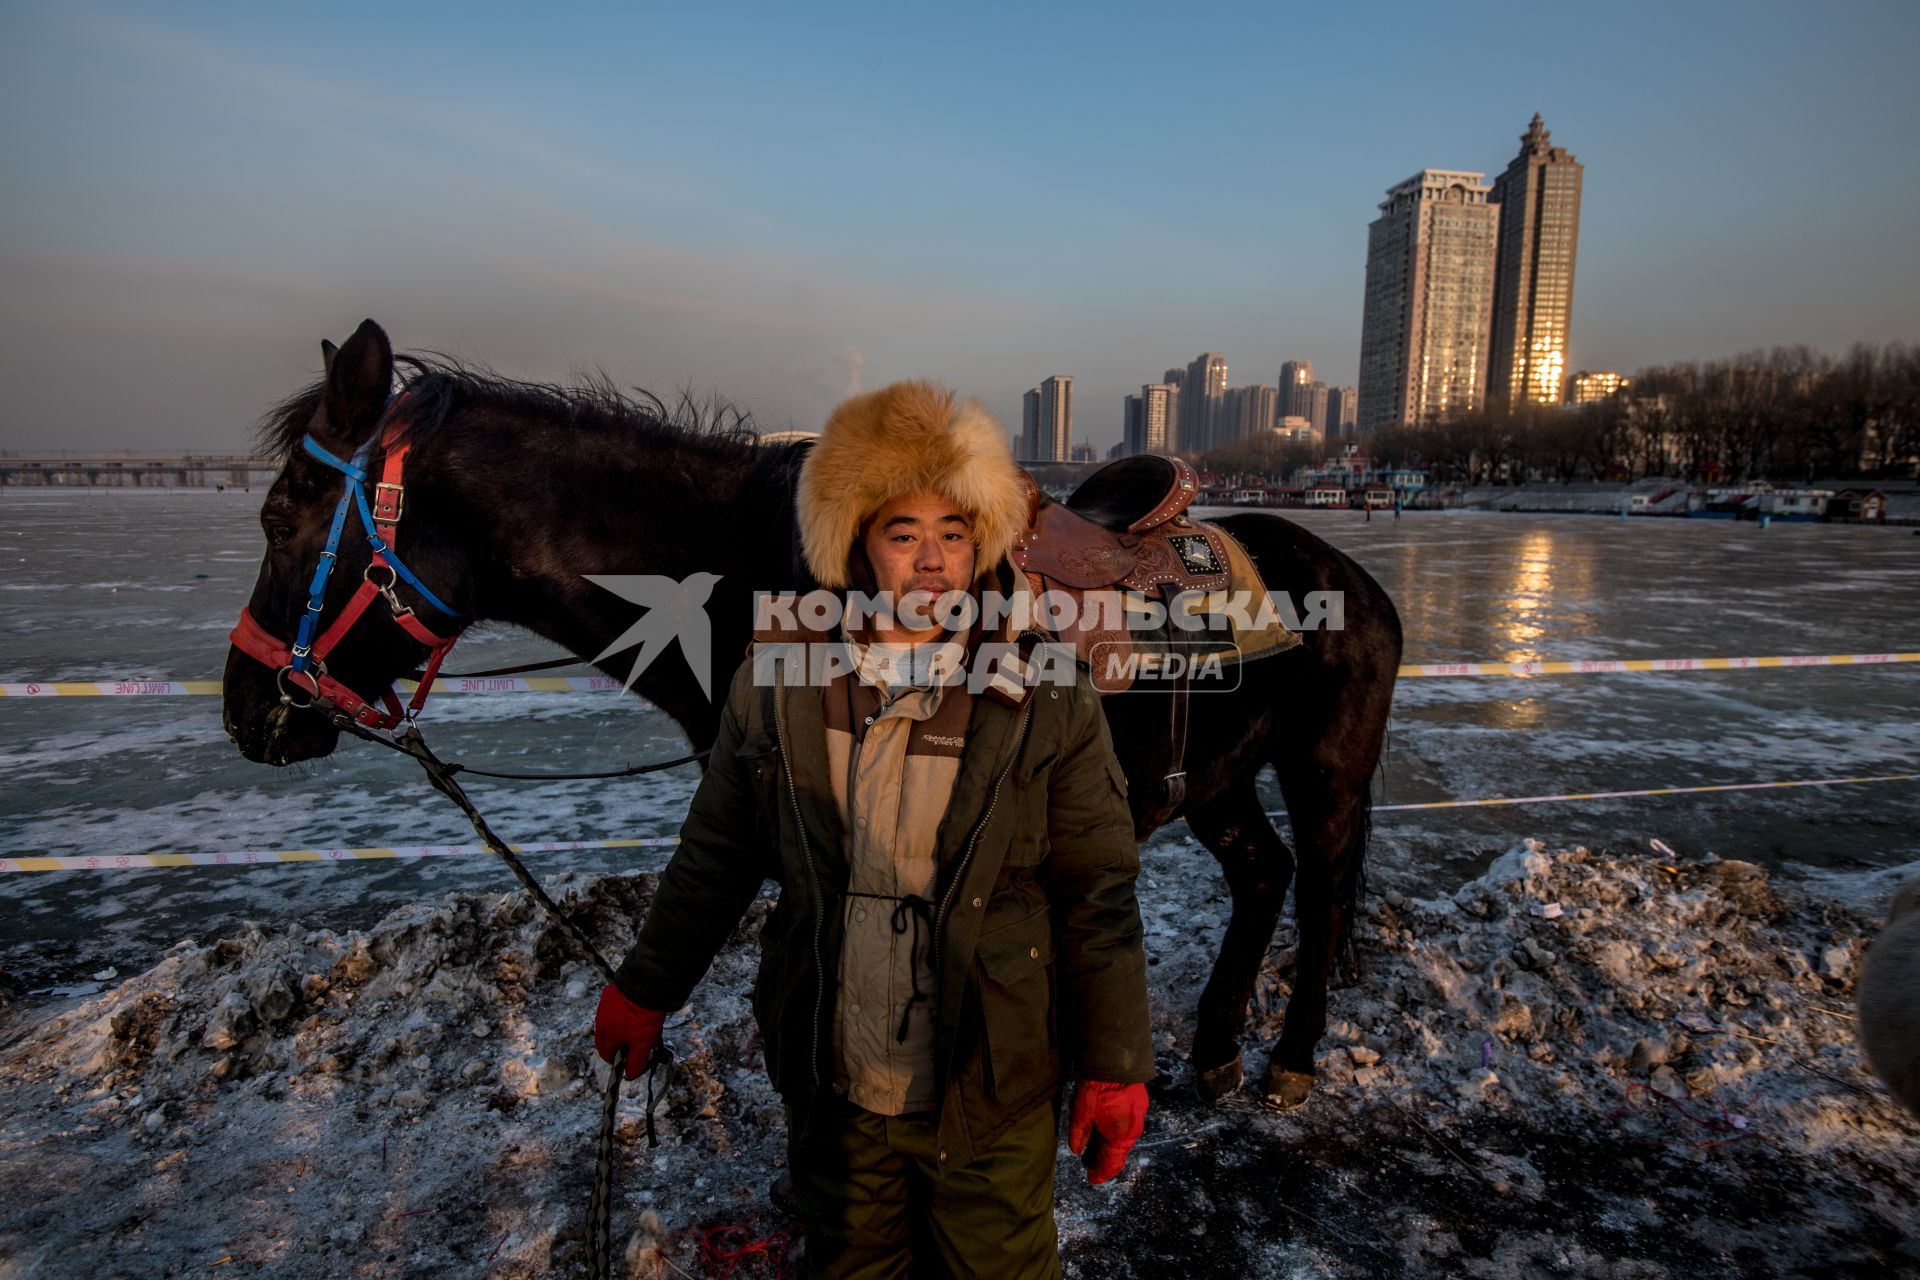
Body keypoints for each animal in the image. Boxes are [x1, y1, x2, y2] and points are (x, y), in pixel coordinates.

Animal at [224, 322, 1405, 1113]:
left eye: (280, 515)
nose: (247, 711)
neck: (754, 572)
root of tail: (1349, 574)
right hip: (1217, 776)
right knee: (1262, 877)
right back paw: (1213, 1048)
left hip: (1327, 773)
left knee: (1321, 894)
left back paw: (1290, 1057)